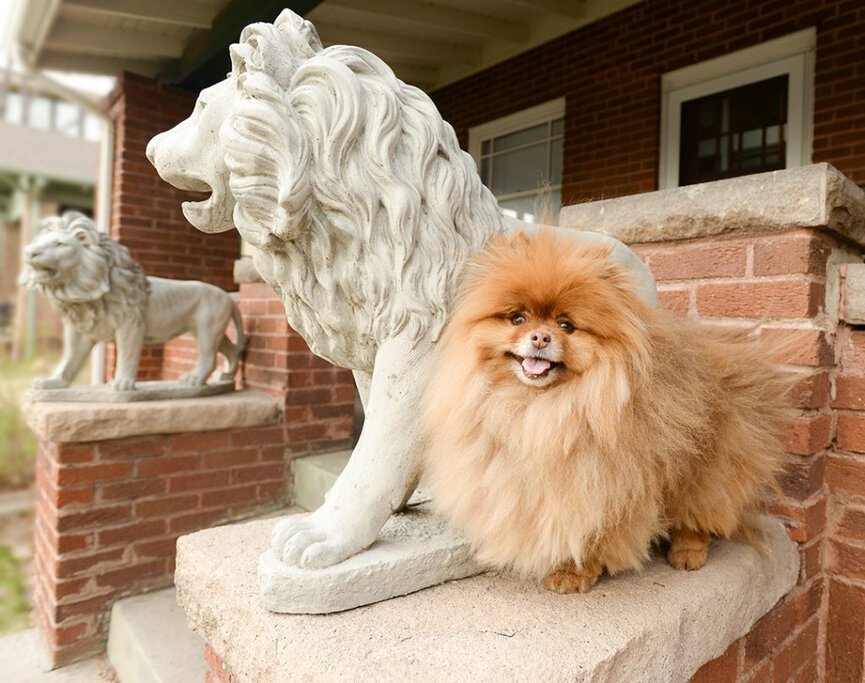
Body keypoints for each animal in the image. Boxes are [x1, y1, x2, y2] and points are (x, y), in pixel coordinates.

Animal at [418, 230, 788, 592]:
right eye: (517, 318)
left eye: (566, 326)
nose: (539, 337)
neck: (539, 407)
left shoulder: (603, 482)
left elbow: (590, 531)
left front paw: (574, 573)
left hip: (706, 464)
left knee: (699, 511)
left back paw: (687, 553)